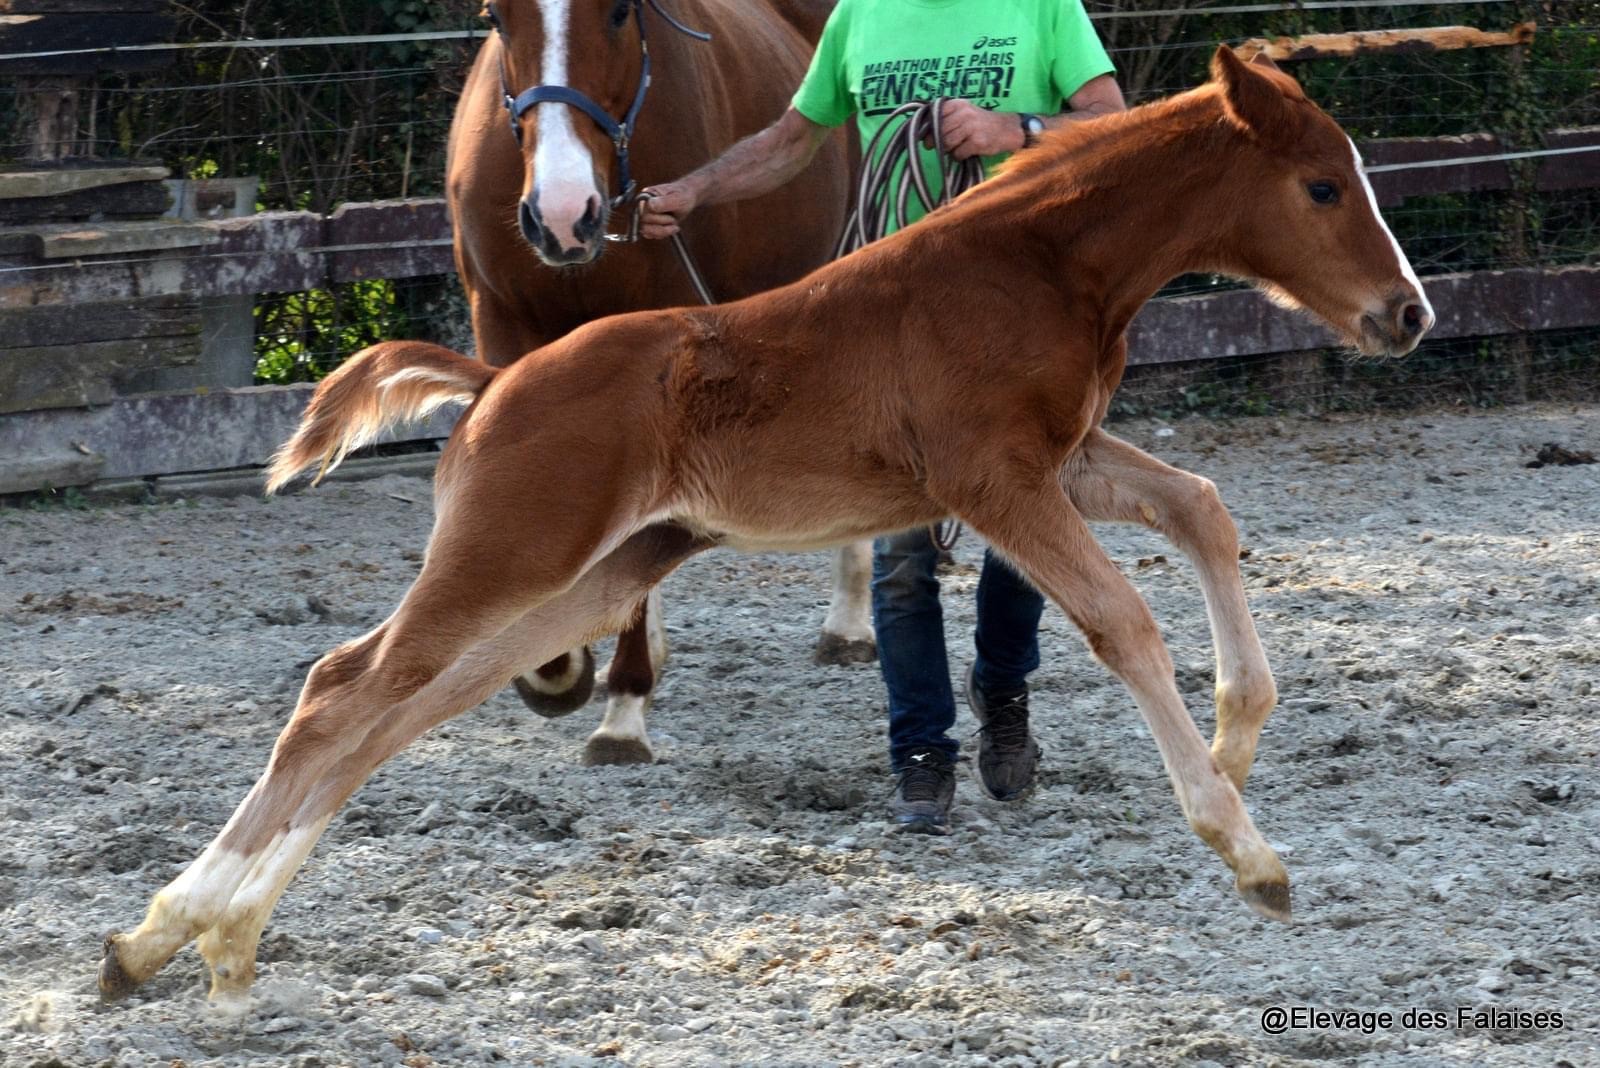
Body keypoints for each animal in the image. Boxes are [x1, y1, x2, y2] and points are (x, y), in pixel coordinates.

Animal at [451, 0, 870, 767]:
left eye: (620, 11)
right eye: (496, 16)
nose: (563, 215)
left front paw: (623, 706)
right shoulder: (502, 325)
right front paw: (554, 664)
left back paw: (851, 623)